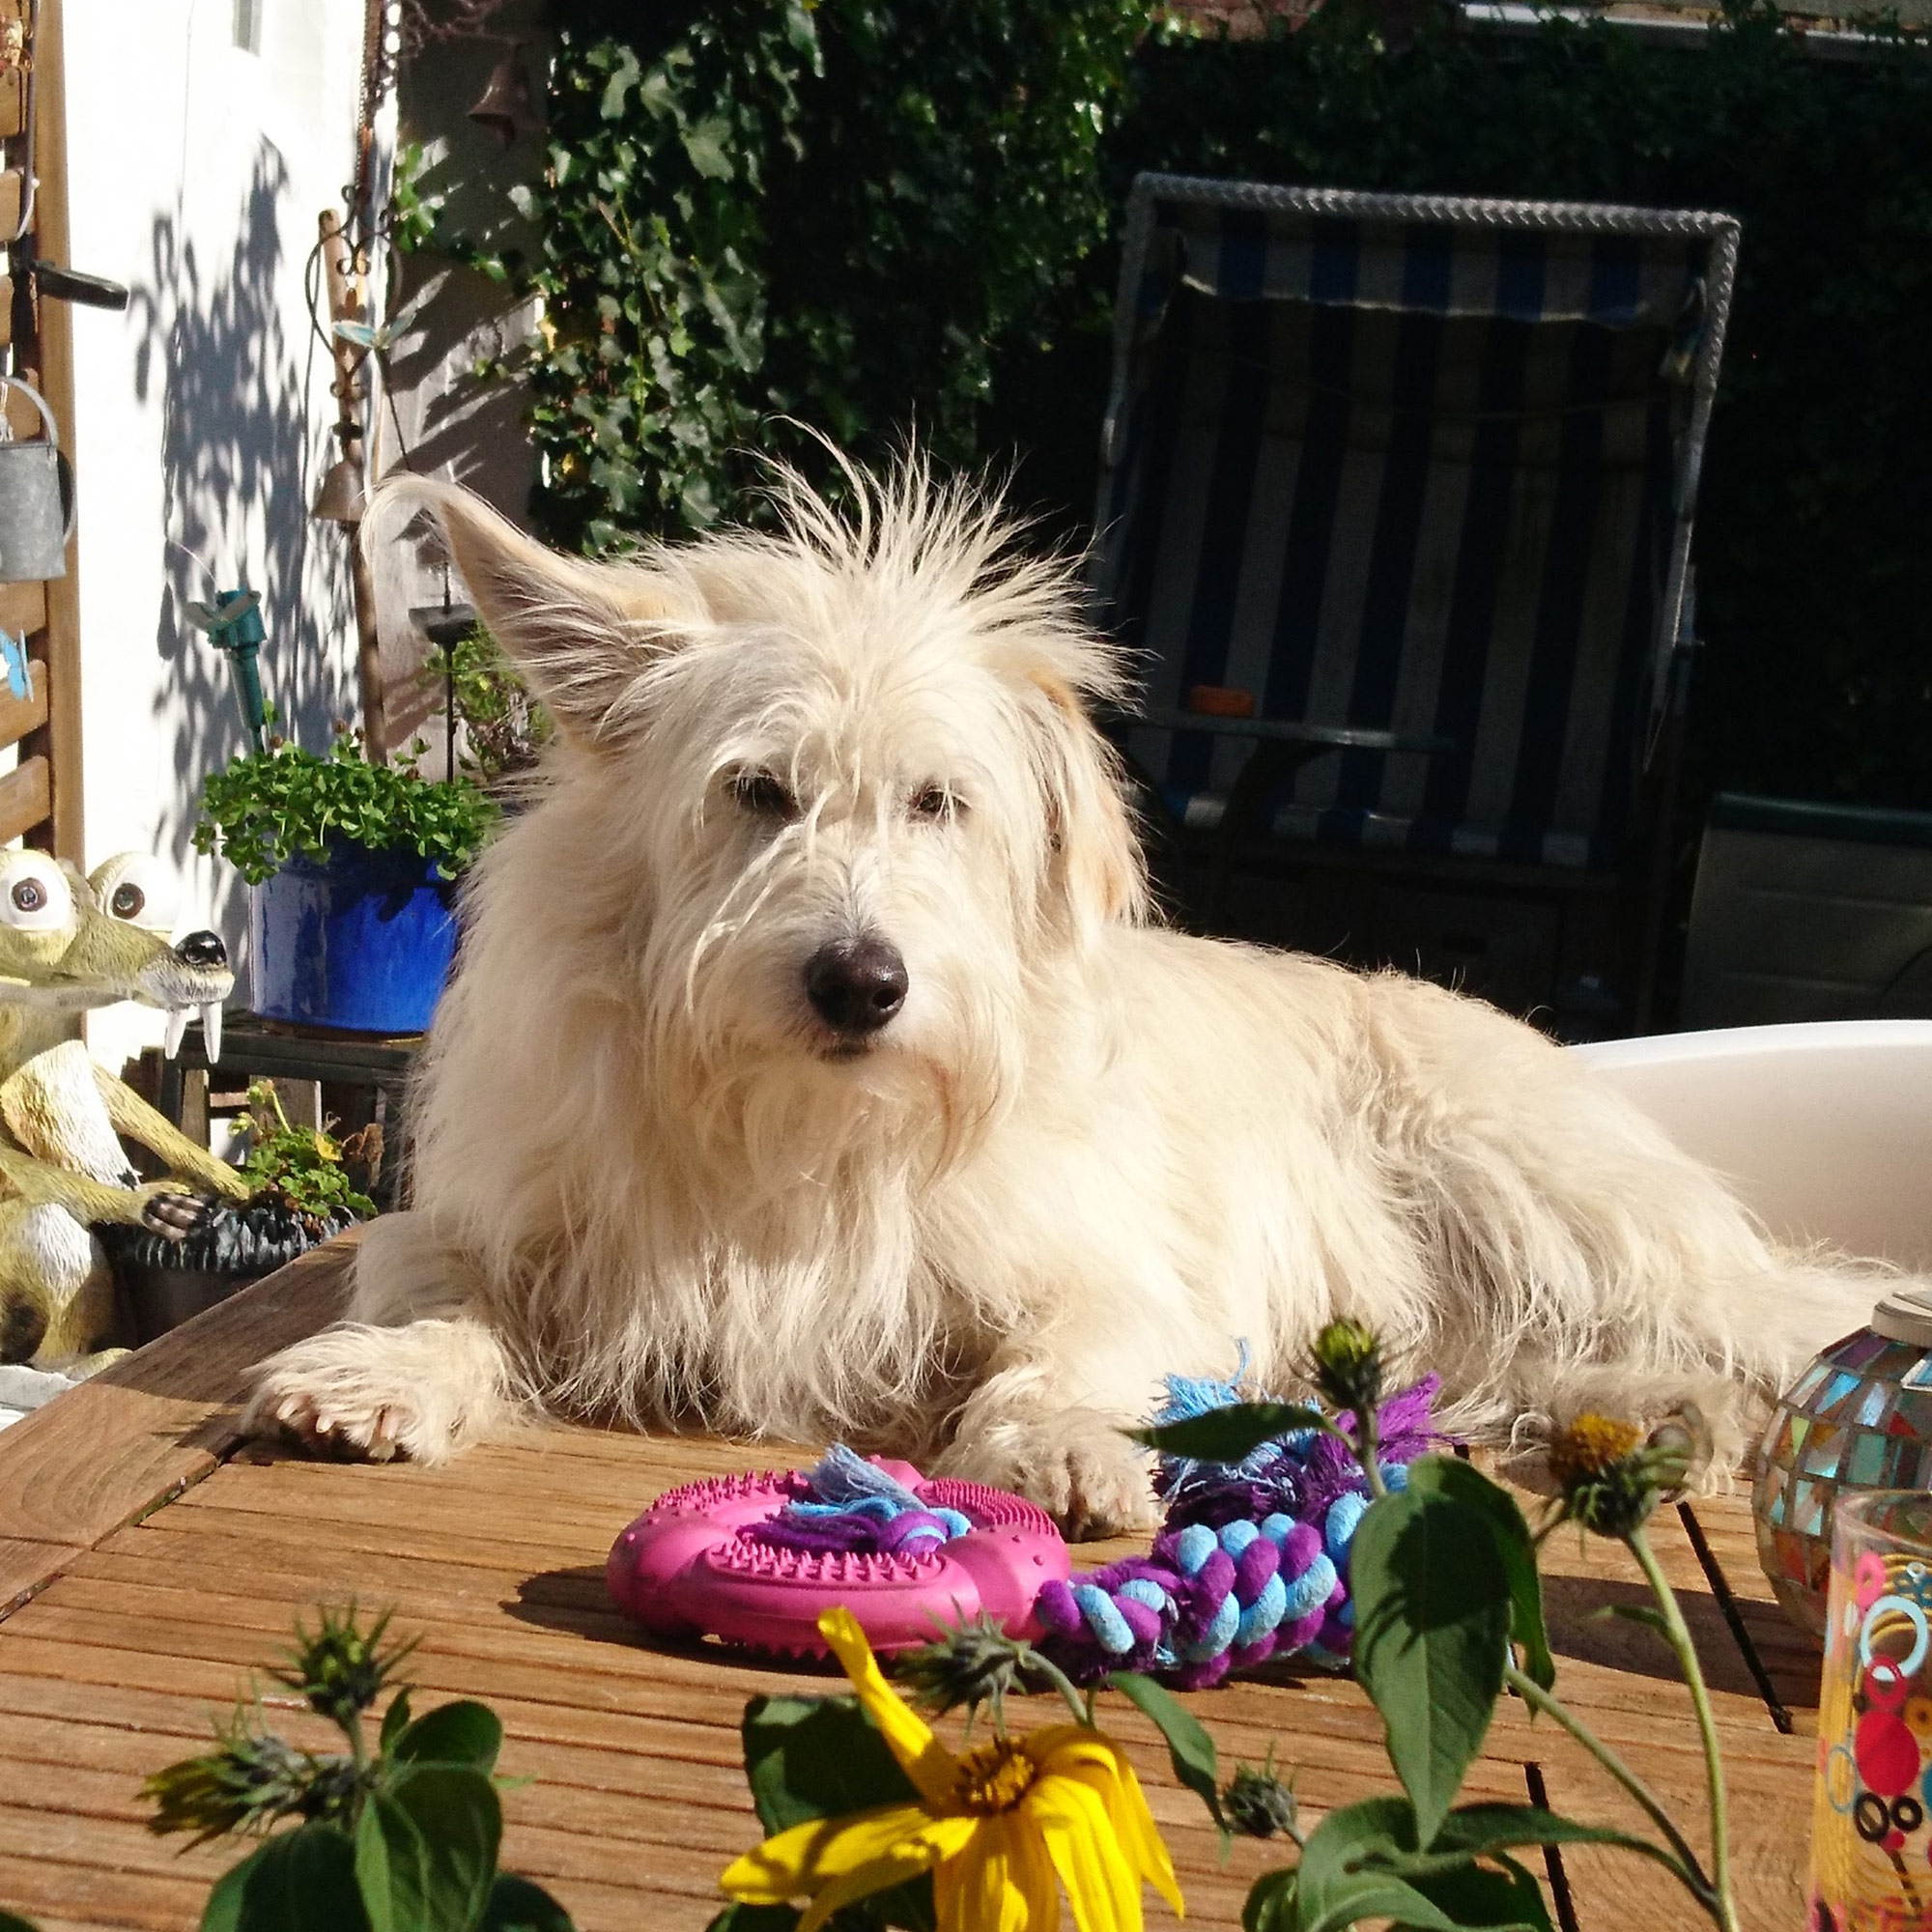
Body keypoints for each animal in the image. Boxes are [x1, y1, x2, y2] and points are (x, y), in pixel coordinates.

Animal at [244, 458, 1882, 1536]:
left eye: (939, 802)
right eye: (758, 792)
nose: (862, 981)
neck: (806, 1131)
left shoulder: (1119, 1268)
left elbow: (1063, 1351)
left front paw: (1064, 1448)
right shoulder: (495, 1219)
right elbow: (435, 1279)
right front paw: (383, 1376)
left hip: (1539, 1202)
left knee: (1765, 1320)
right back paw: (1662, 1428)